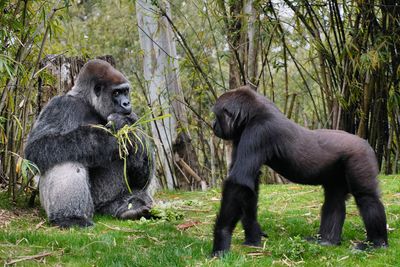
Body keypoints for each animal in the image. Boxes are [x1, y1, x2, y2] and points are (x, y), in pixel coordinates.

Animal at [24, 59, 154, 228]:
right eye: (116, 93)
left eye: (126, 91)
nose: (127, 103)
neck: (88, 103)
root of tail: (101, 212)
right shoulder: (61, 105)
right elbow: (37, 146)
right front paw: (105, 139)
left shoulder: (134, 117)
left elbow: (142, 179)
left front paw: (128, 132)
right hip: (90, 208)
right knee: (64, 157)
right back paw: (70, 218)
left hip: (109, 207)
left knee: (137, 194)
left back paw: (131, 209)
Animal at [211, 87, 390, 256]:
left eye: (216, 116)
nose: (212, 125)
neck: (253, 112)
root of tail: (366, 142)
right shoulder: (240, 135)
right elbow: (249, 184)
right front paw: (253, 234)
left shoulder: (259, 131)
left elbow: (239, 182)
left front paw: (221, 237)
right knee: (334, 199)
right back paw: (327, 240)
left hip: (360, 156)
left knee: (367, 198)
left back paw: (377, 243)